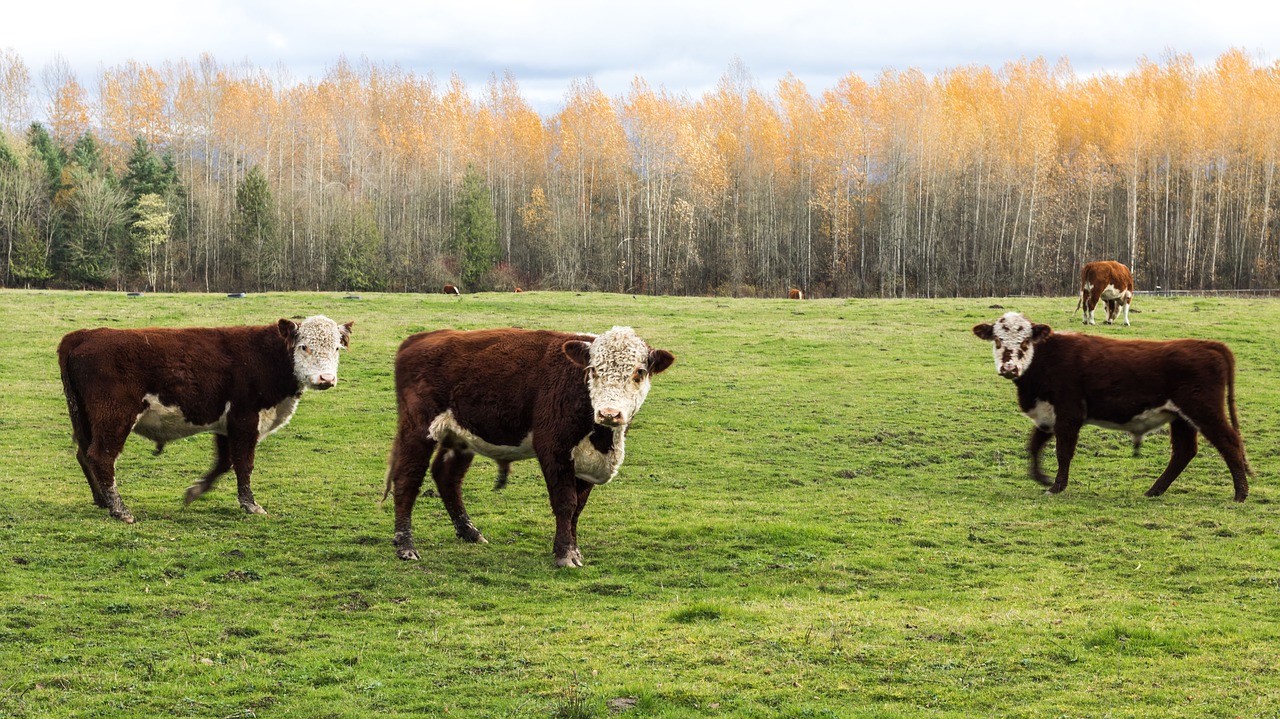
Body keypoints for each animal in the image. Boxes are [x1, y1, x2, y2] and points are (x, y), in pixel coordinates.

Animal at [58, 314, 353, 519]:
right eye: (304, 346)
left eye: (337, 348)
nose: (326, 378)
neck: (267, 357)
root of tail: (85, 335)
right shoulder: (245, 419)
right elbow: (244, 463)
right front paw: (251, 505)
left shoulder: (226, 425)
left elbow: (225, 462)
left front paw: (194, 491)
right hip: (114, 417)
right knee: (101, 456)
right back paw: (120, 510)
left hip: (86, 419)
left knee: (84, 454)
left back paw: (102, 500)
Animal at [381, 324, 675, 565]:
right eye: (593, 370)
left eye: (639, 372)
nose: (609, 413)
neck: (602, 439)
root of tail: (421, 338)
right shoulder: (553, 448)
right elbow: (565, 502)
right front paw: (565, 555)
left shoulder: (589, 461)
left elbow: (578, 507)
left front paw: (574, 549)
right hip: (418, 428)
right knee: (407, 478)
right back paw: (405, 546)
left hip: (460, 435)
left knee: (447, 477)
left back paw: (470, 532)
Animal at [972, 310, 1244, 501]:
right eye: (998, 339)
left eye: (1025, 341)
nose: (1009, 368)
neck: (1045, 359)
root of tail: (1205, 344)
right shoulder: (1047, 415)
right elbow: (1034, 446)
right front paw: (1042, 478)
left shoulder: (1069, 414)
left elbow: (1063, 451)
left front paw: (1057, 487)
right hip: (1182, 419)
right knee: (1183, 452)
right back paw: (1154, 491)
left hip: (1204, 411)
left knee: (1229, 443)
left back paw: (1240, 494)